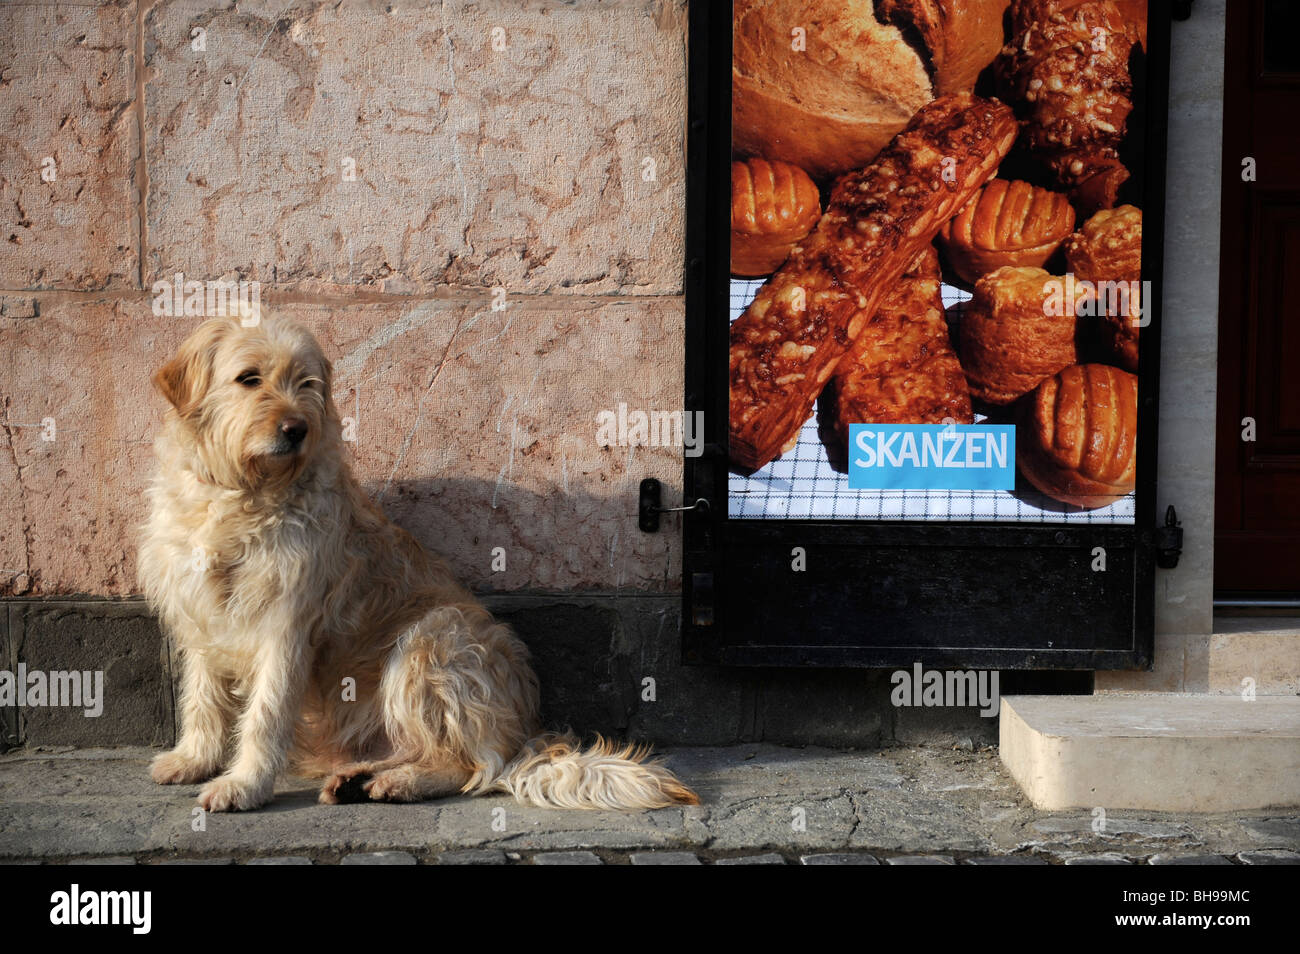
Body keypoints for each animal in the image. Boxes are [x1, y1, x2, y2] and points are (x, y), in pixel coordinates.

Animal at [137, 314, 696, 816]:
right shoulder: (201, 611)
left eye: (307, 383)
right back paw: (359, 779)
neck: (242, 496)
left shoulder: (285, 624)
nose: (297, 429)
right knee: (421, 750)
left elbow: (265, 713)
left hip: (431, 640)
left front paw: (244, 785)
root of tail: (520, 733)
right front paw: (194, 759)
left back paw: (398, 783)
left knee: (469, 767)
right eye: (248, 378)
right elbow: (202, 697)